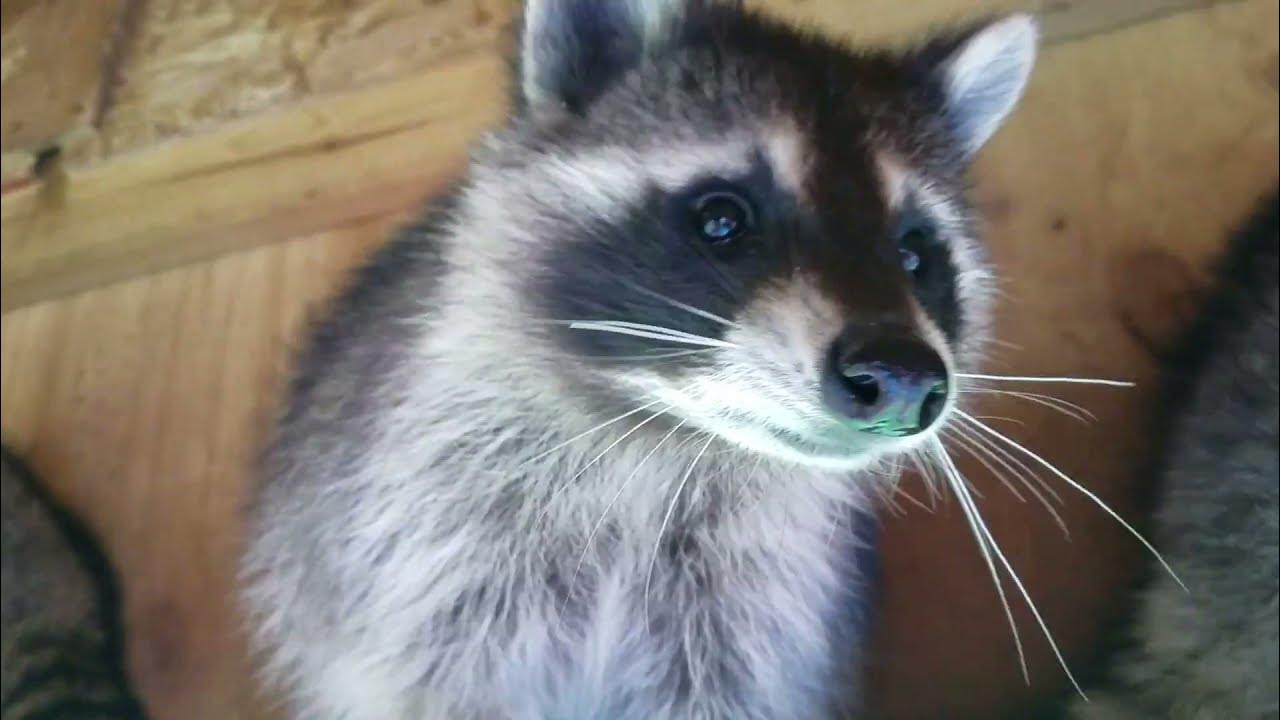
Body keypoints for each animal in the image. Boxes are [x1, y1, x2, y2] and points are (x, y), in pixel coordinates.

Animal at [240, 2, 1038, 718]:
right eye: (721, 220)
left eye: (914, 253)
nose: (902, 376)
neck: (661, 444)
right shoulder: (417, 567)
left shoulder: (761, 620)